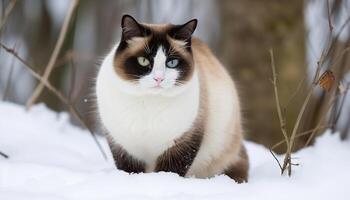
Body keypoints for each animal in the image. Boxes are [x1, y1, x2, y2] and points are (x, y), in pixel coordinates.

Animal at [95, 14, 249, 183]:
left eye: (172, 63)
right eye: (144, 61)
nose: (159, 79)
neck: (148, 103)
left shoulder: (182, 143)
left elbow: (170, 172)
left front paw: (165, 183)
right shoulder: (124, 146)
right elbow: (129, 170)